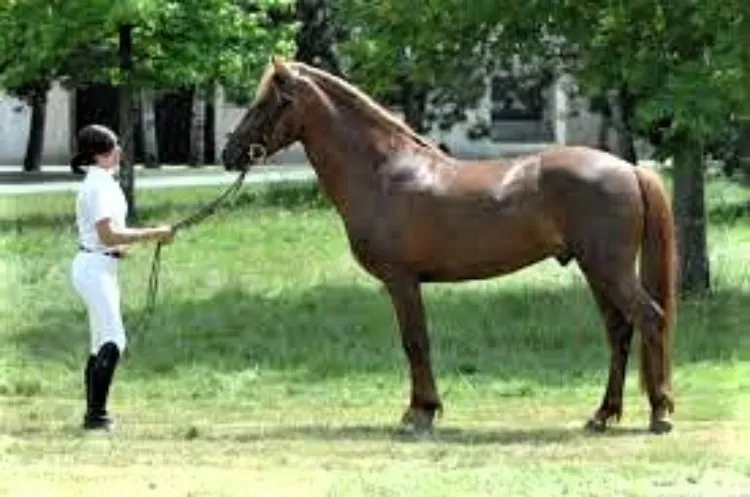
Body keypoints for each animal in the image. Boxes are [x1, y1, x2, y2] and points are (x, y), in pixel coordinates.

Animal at [220, 56, 680, 432]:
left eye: (265, 103)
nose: (229, 153)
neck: (384, 172)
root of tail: (629, 169)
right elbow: (417, 342)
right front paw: (422, 409)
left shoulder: (402, 281)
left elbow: (415, 342)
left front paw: (420, 413)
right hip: (595, 270)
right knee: (619, 332)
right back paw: (603, 414)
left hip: (608, 269)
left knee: (650, 320)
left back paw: (660, 412)